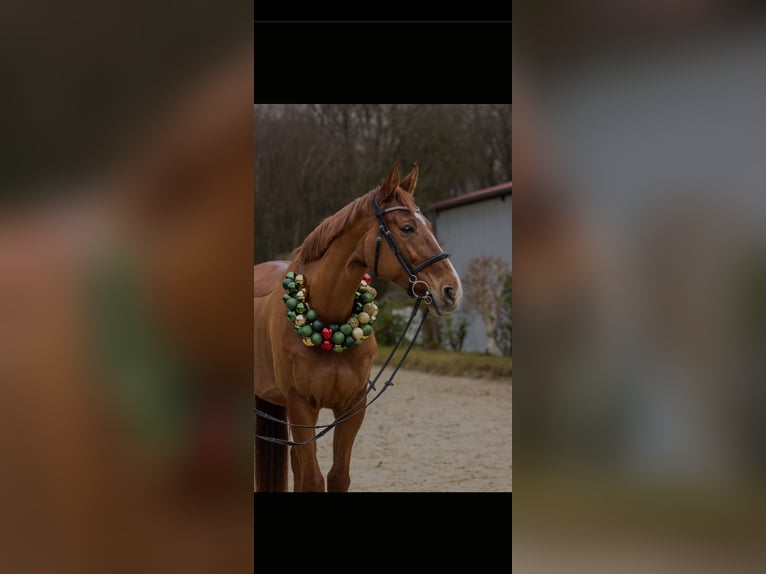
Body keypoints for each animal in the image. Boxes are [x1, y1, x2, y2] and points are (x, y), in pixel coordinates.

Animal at [254, 162, 463, 492]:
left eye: (428, 224)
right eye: (407, 228)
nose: (452, 290)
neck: (330, 322)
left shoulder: (352, 407)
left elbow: (337, 476)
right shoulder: (302, 406)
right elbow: (312, 480)